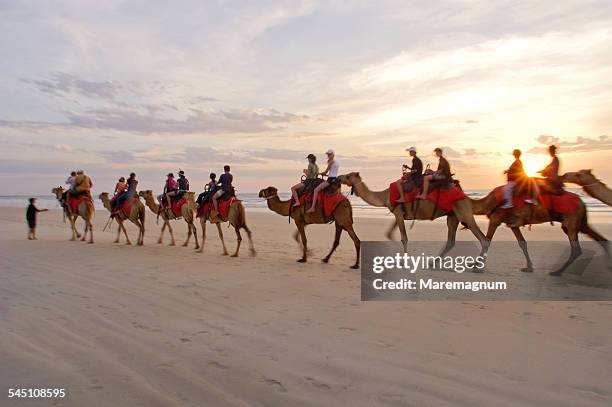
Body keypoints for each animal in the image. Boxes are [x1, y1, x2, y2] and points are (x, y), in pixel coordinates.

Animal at [334, 172, 488, 258]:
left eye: (348, 176)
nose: (337, 177)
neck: (385, 195)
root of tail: (465, 196)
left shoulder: (397, 212)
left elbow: (404, 238)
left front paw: (404, 259)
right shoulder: (399, 213)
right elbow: (389, 233)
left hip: (463, 211)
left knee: (483, 238)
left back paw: (476, 267)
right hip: (452, 215)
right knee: (451, 240)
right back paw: (433, 263)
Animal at [470, 186, 608, 276]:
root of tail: (582, 202)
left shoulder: (496, 218)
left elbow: (487, 241)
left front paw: (477, 268)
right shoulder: (512, 224)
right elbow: (522, 243)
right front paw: (529, 268)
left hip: (571, 222)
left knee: (576, 249)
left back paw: (557, 272)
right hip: (581, 223)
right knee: (600, 239)